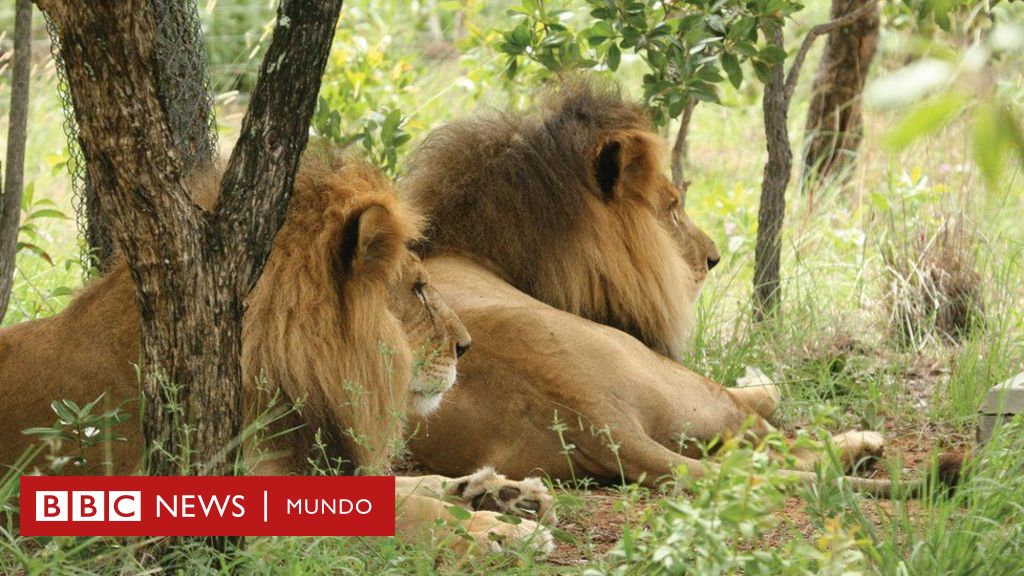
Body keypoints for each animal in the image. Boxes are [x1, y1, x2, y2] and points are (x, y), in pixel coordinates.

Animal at [0, 145, 557, 553]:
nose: (466, 346)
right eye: (419, 289)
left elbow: (397, 487)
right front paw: (502, 531)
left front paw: (503, 493)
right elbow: (403, 511)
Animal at [401, 78, 958, 496]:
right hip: (686, 385)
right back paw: (861, 444)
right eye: (671, 207)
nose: (714, 258)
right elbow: (770, 391)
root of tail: (589, 413)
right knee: (786, 449)